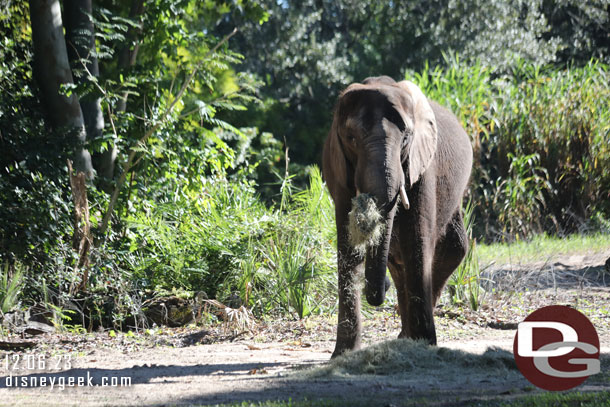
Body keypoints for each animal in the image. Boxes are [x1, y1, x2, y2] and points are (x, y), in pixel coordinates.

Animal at [320, 75, 472, 356]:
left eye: (405, 140)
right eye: (351, 138)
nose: (381, 290)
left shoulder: (421, 164)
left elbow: (417, 241)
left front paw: (425, 346)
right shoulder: (337, 168)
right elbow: (348, 247)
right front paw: (343, 355)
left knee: (452, 248)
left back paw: (408, 339)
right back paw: (403, 337)